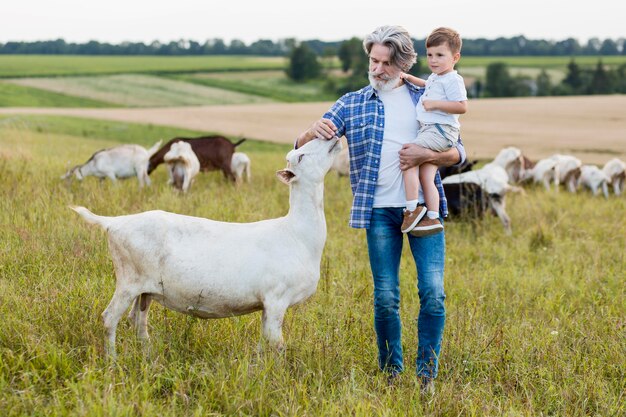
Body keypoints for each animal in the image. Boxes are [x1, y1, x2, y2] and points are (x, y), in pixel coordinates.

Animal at [70, 137, 338, 358]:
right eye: (300, 157)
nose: (333, 138)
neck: (296, 233)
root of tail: (115, 222)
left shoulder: (268, 306)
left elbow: (265, 342)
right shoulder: (276, 299)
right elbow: (276, 344)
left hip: (144, 289)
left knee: (137, 319)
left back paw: (148, 355)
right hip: (128, 279)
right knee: (109, 318)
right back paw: (113, 361)